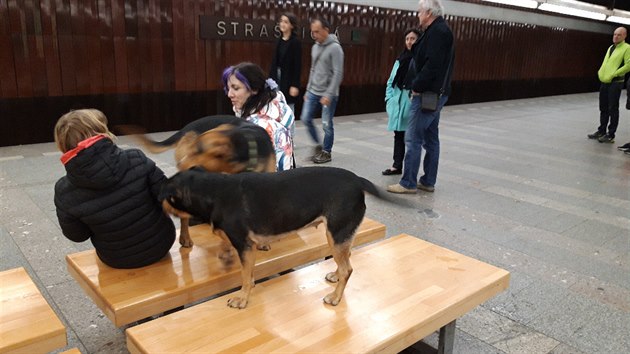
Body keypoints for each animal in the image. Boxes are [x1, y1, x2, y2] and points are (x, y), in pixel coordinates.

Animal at [160, 167, 402, 308]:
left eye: (166, 194)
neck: (212, 191)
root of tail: (358, 180)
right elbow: (238, 259)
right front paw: (226, 255)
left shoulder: (245, 245)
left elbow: (245, 276)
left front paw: (242, 298)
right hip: (340, 234)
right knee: (346, 259)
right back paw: (334, 276)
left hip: (335, 233)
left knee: (348, 269)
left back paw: (335, 297)